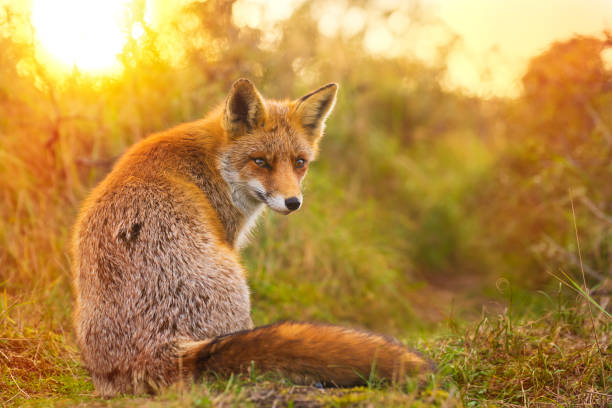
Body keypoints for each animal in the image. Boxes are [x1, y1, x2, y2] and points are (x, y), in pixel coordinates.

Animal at [71, 79, 432, 396]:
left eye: (300, 163)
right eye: (260, 161)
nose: (293, 202)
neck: (211, 162)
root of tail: (163, 352)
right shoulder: (228, 236)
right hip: (235, 277)